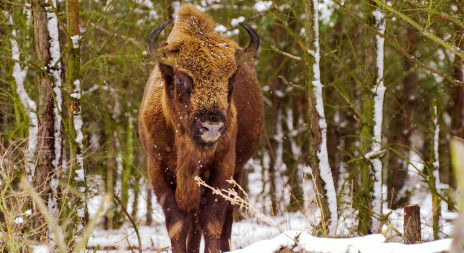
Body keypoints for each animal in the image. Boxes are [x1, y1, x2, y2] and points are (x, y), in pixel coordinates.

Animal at [138, 5, 262, 253]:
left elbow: (213, 223)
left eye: (231, 80)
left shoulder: (223, 168)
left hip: (238, 172)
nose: (211, 126)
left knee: (225, 220)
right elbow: (177, 226)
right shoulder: (157, 170)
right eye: (181, 79)